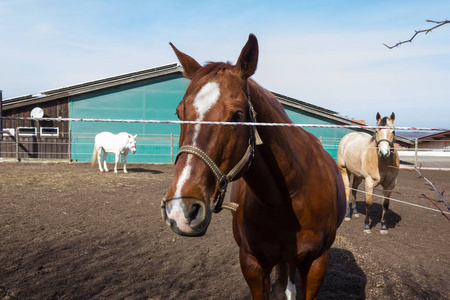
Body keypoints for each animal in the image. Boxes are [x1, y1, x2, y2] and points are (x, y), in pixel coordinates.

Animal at [162, 34, 348, 298]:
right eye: (180, 113)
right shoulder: (252, 264)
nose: (180, 209)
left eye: (238, 116)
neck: (288, 199)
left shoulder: (316, 264)